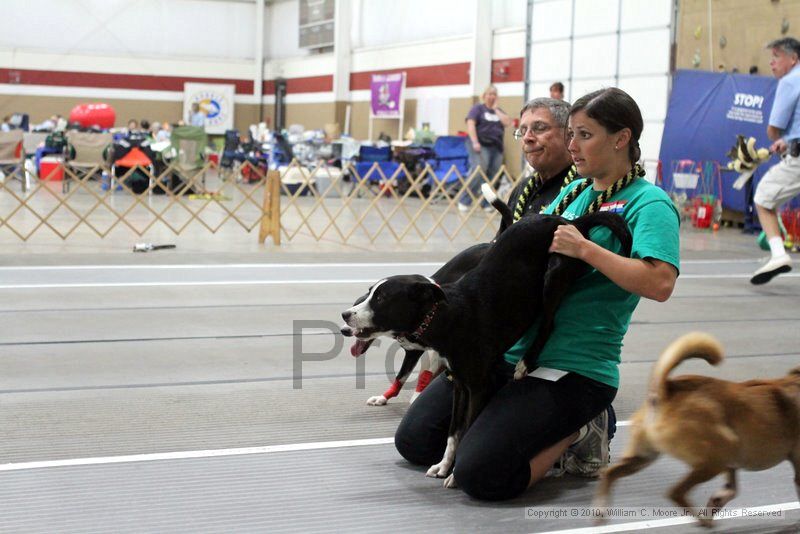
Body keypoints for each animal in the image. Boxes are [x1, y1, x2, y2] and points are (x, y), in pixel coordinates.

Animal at [340, 211, 628, 488]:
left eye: (382, 298)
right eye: (369, 293)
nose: (345, 315)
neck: (446, 316)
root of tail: (571, 222)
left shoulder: (479, 387)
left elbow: (468, 431)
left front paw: (455, 476)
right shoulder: (460, 385)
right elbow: (454, 433)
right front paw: (443, 467)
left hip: (555, 271)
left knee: (549, 322)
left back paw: (525, 362)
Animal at [592, 332, 800, 528]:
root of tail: (666, 389)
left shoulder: (732, 462)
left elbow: (731, 488)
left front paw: (717, 500)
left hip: (645, 457)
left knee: (611, 474)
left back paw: (600, 511)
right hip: (713, 460)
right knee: (675, 492)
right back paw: (702, 520)